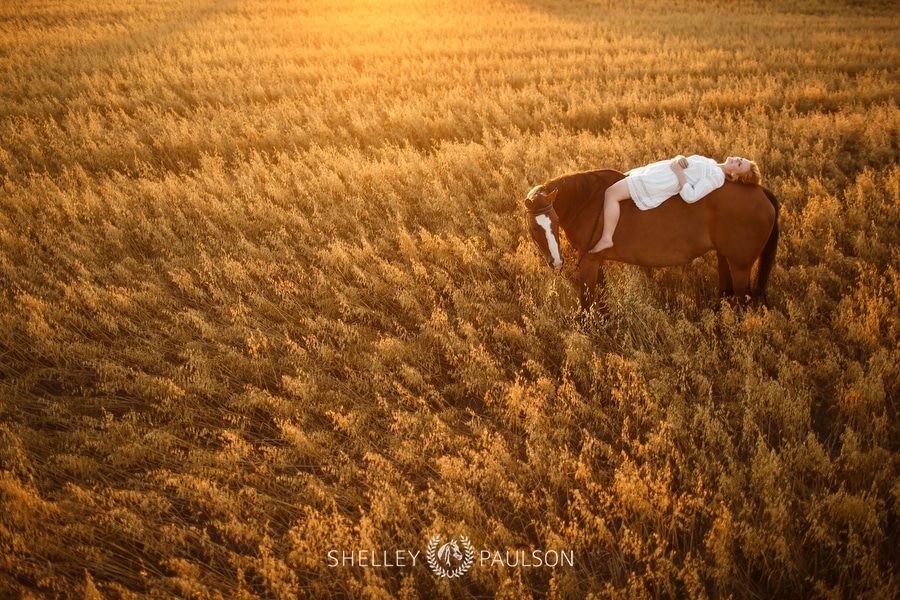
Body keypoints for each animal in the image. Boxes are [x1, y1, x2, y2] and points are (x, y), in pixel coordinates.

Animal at [524, 169, 776, 310]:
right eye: (535, 227)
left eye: (555, 221)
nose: (557, 262)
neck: (588, 202)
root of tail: (761, 192)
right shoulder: (597, 260)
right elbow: (602, 298)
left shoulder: (589, 261)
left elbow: (586, 302)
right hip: (724, 257)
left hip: (741, 266)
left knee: (742, 301)